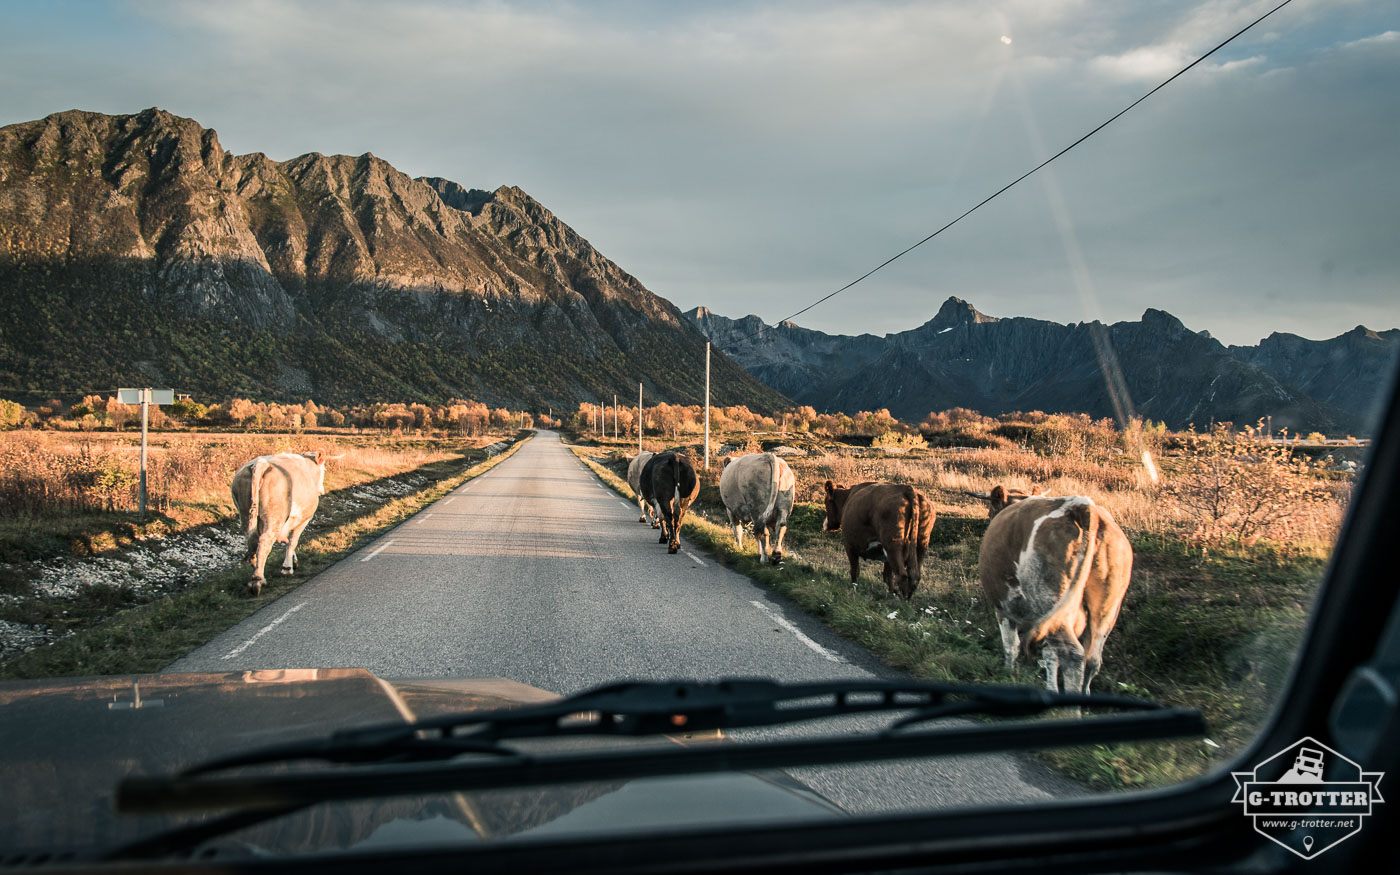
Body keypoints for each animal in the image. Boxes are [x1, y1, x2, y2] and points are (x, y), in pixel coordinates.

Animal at [236, 450, 334, 593]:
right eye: (324, 469)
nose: (322, 490)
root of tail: (260, 463)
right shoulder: (304, 518)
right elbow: (293, 541)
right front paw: (287, 567)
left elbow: (287, 540)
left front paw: (292, 561)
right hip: (274, 516)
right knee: (264, 541)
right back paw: (258, 580)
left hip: (245, 515)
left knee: (252, 539)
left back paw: (255, 566)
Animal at [980, 495, 1131, 700]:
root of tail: (1079, 504)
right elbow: (1049, 654)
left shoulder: (1004, 608)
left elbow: (1011, 646)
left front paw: (1007, 673)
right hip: (1106, 610)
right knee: (1092, 659)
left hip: (1049, 597)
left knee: (1072, 654)